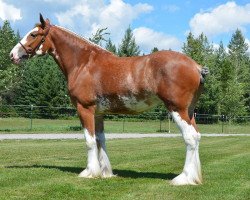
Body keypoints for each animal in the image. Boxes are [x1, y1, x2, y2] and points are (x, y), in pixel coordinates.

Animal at [10, 14, 209, 186]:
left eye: (33, 34)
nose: (12, 55)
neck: (84, 63)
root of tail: (196, 66)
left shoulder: (85, 109)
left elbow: (90, 141)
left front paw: (90, 172)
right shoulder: (98, 113)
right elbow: (101, 140)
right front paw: (105, 172)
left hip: (177, 109)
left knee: (190, 138)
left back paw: (183, 178)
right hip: (189, 111)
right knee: (197, 136)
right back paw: (194, 177)